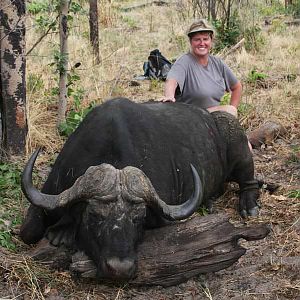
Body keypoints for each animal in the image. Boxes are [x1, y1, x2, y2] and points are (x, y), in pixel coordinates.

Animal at [19, 99, 258, 282]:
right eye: (94, 216)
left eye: (139, 218)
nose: (120, 269)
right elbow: (28, 231)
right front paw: (62, 231)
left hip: (235, 138)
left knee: (249, 182)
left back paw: (249, 206)